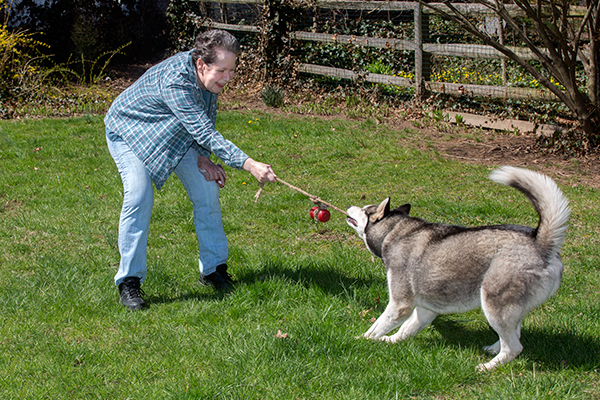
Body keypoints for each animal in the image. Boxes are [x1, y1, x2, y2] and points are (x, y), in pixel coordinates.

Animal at [344, 166, 568, 372]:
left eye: (365, 209)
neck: (394, 232)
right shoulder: (426, 308)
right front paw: (391, 340)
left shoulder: (400, 304)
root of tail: (541, 243)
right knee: (516, 335)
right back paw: (493, 349)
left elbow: (377, 326)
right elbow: (406, 329)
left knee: (514, 347)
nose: (348, 205)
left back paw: (488, 366)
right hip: (511, 309)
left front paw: (361, 339)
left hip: (493, 304)